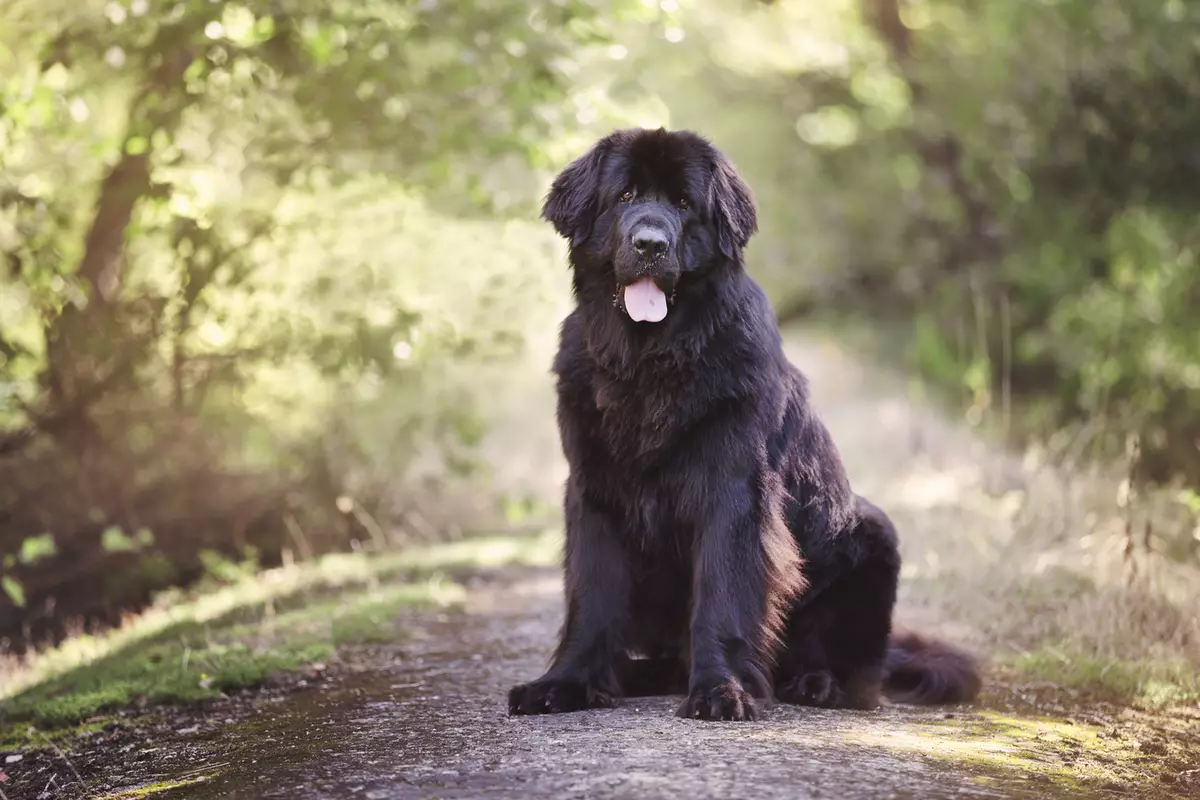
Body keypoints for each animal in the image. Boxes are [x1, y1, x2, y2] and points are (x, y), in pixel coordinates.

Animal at [506, 128, 984, 724]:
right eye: (625, 196)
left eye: (683, 204)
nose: (649, 243)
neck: (651, 358)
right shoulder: (593, 490)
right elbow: (591, 598)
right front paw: (565, 684)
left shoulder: (732, 491)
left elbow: (722, 596)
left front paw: (720, 690)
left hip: (873, 535)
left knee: (856, 671)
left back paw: (814, 683)